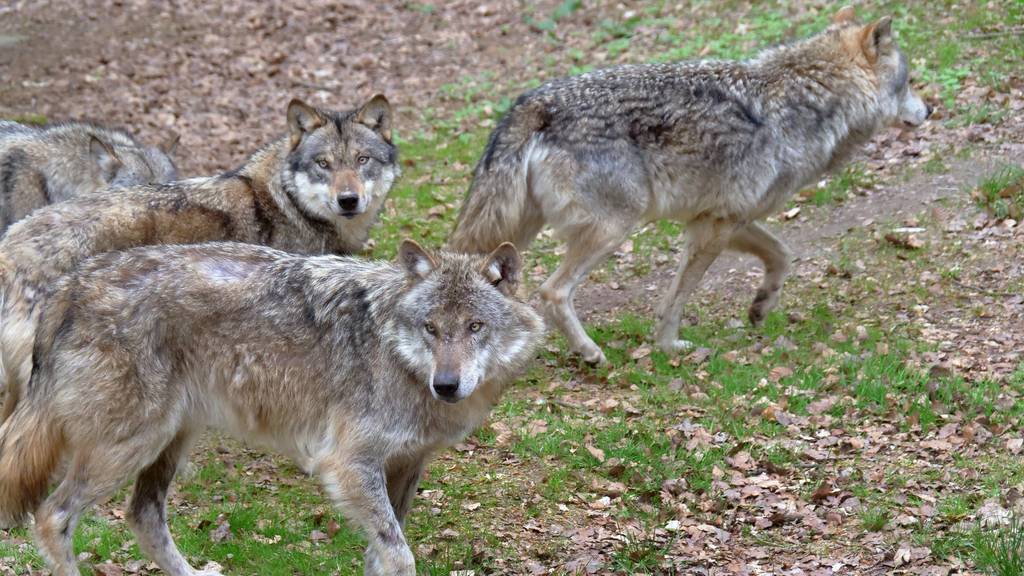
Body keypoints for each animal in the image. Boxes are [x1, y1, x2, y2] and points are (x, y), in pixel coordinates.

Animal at [0, 237, 544, 573]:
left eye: (475, 326)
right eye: (431, 327)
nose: (446, 385)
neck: (397, 355)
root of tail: (68, 286)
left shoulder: (406, 465)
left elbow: (382, 555)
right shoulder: (348, 464)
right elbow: (401, 556)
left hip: (170, 442)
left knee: (143, 518)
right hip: (129, 447)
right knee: (52, 517)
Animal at [448, 5, 929, 362]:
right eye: (908, 83)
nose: (928, 112)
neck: (809, 98)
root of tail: (532, 102)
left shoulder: (719, 219)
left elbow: (781, 256)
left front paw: (761, 307)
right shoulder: (714, 227)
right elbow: (679, 296)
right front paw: (668, 346)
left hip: (518, 235)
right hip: (612, 229)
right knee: (552, 291)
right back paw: (589, 353)